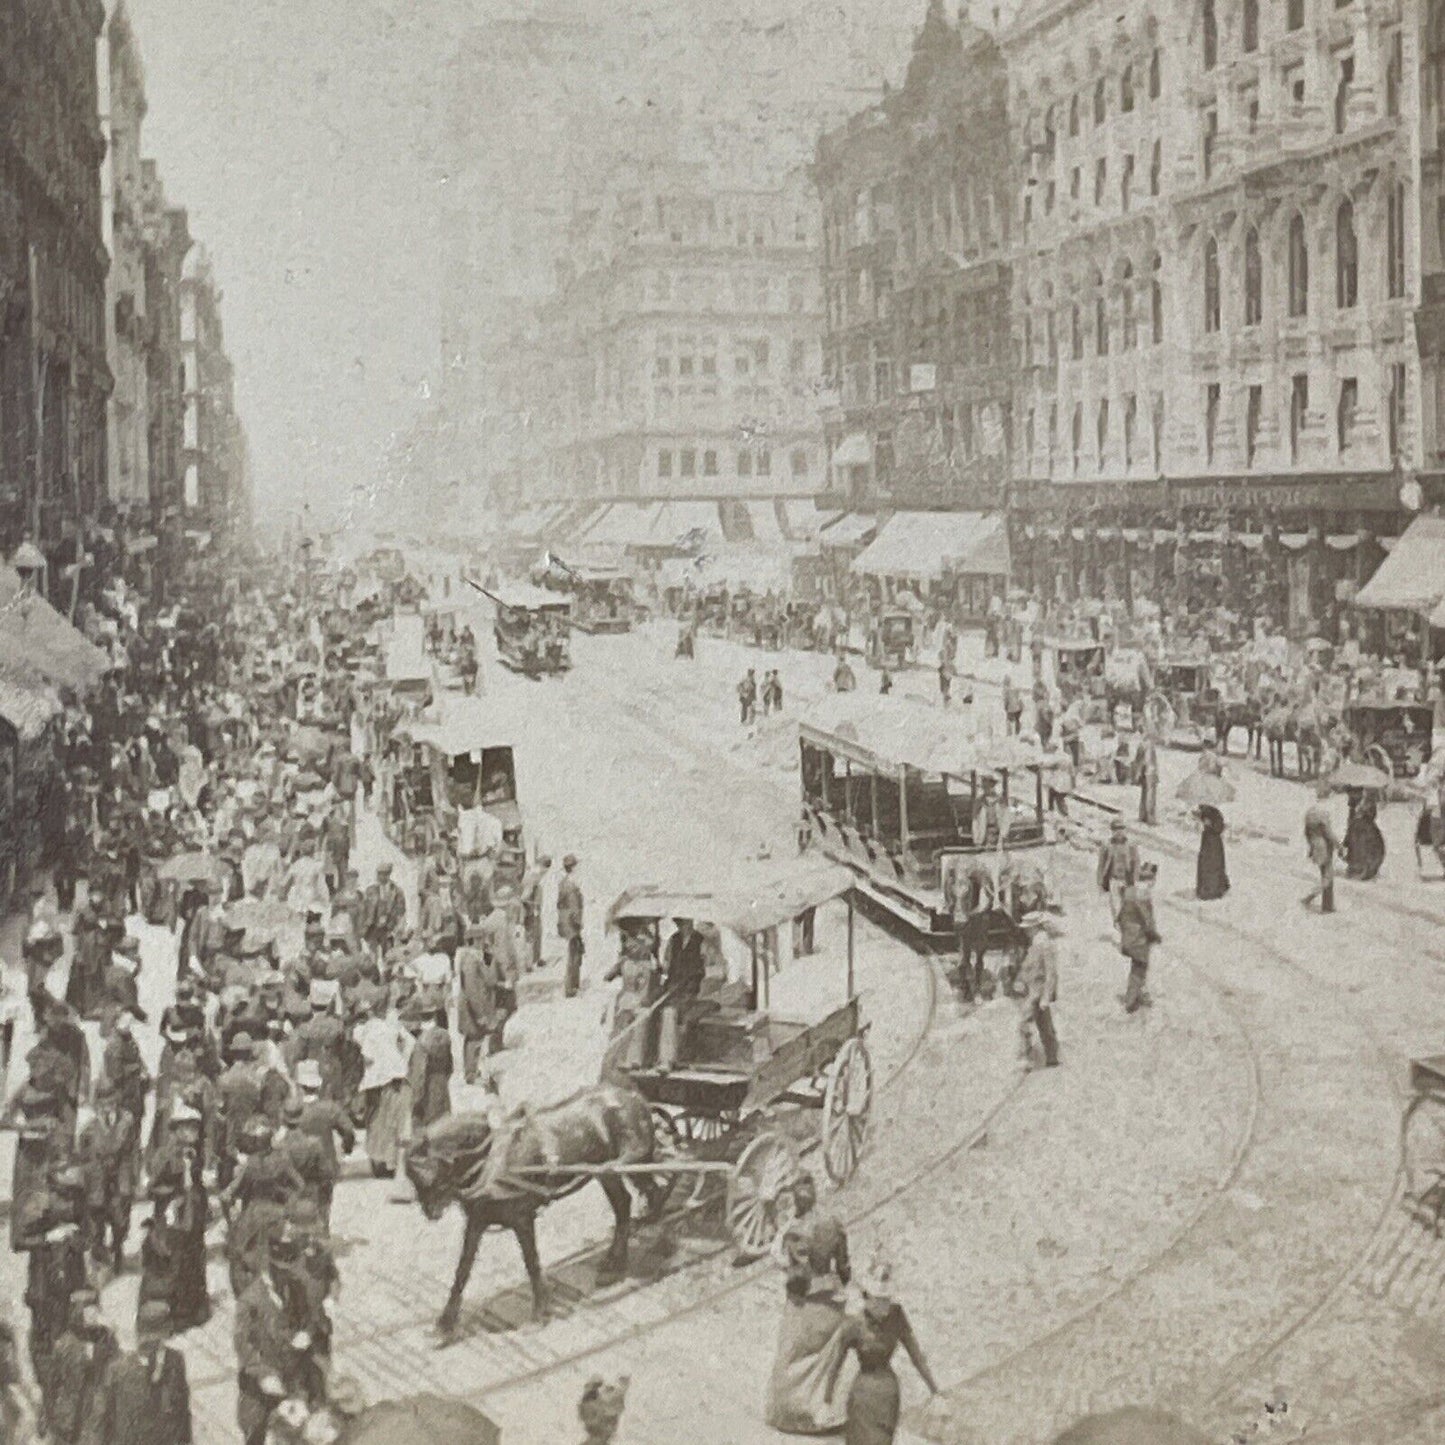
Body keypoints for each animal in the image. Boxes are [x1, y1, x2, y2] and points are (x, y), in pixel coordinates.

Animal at [407, 1086, 664, 1329]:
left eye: (428, 1171)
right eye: (411, 1176)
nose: (430, 1212)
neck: (493, 1160)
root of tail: (634, 1096)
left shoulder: (522, 1217)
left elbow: (531, 1262)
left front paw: (540, 1311)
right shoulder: (477, 1220)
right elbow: (463, 1268)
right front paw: (446, 1321)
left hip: (633, 1161)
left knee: (653, 1192)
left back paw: (655, 1244)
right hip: (606, 1171)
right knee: (624, 1204)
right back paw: (615, 1264)